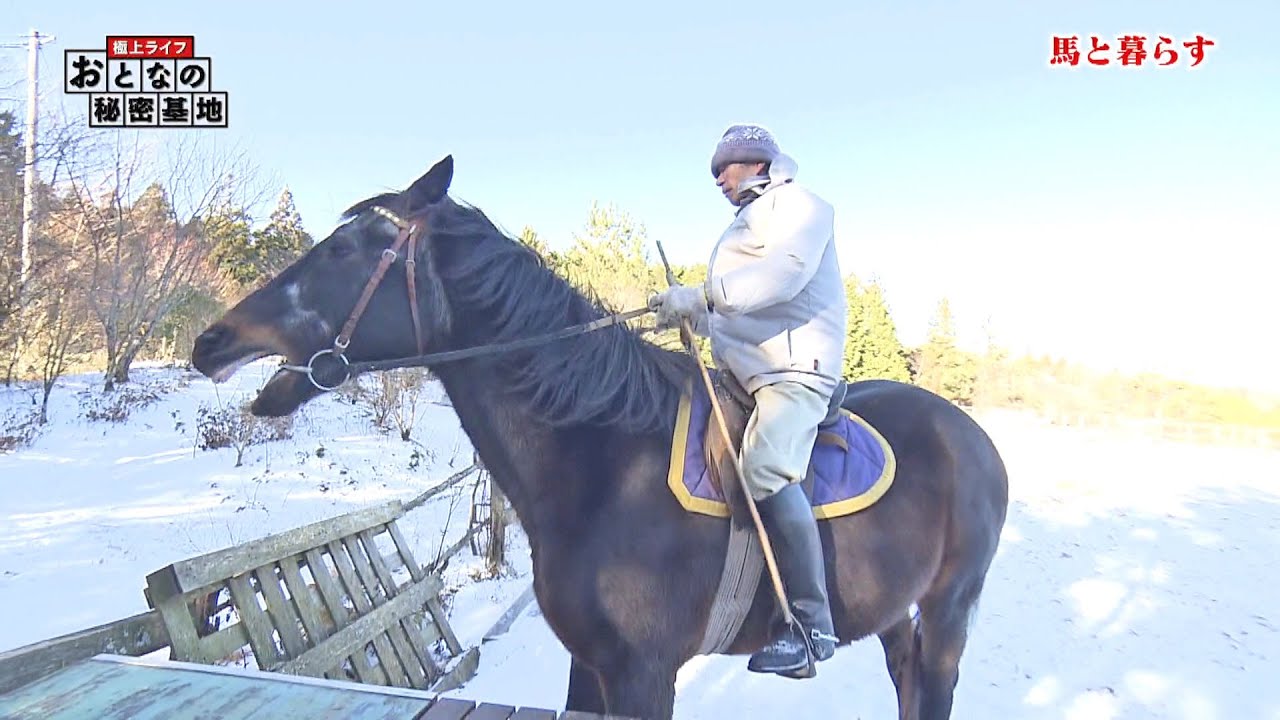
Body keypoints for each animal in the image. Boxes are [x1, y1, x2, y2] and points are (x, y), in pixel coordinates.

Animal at [190, 155, 1009, 720]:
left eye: (346, 249)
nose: (211, 340)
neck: (606, 464)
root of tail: (970, 434)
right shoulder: (591, 665)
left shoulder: (645, 672)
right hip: (898, 612)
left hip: (948, 608)